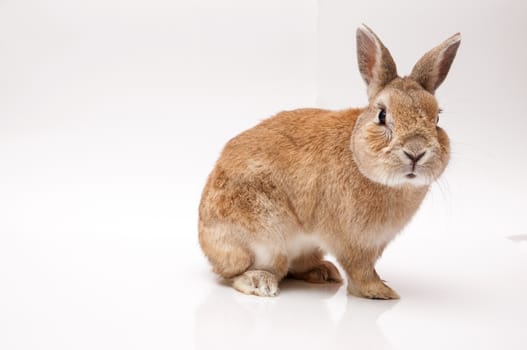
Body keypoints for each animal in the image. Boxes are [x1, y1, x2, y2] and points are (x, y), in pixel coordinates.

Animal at [199, 24, 462, 298]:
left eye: (437, 119)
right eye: (382, 115)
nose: (415, 152)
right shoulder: (352, 241)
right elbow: (360, 270)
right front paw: (381, 292)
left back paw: (323, 272)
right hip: (264, 238)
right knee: (238, 273)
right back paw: (260, 282)